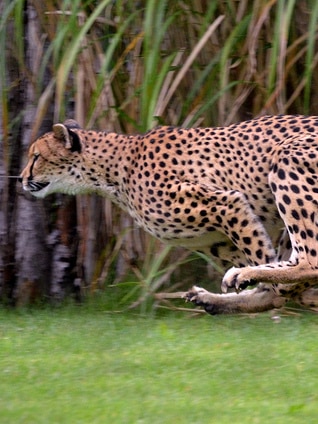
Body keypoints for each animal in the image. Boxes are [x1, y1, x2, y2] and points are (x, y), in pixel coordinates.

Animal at [20, 116, 318, 314]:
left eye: (36, 157)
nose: (22, 179)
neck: (112, 169)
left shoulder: (227, 202)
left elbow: (267, 265)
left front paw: (254, 280)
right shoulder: (215, 240)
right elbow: (276, 281)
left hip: (286, 158)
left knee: (309, 260)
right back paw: (212, 299)